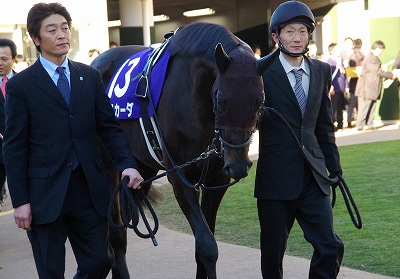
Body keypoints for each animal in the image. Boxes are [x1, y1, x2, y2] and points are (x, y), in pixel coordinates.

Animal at [92, 21, 264, 279]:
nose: (239, 165)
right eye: (221, 99)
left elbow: (204, 243)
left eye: (259, 101)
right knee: (117, 236)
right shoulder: (180, 178)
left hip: (141, 170)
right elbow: (207, 246)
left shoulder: (216, 179)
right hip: (109, 168)